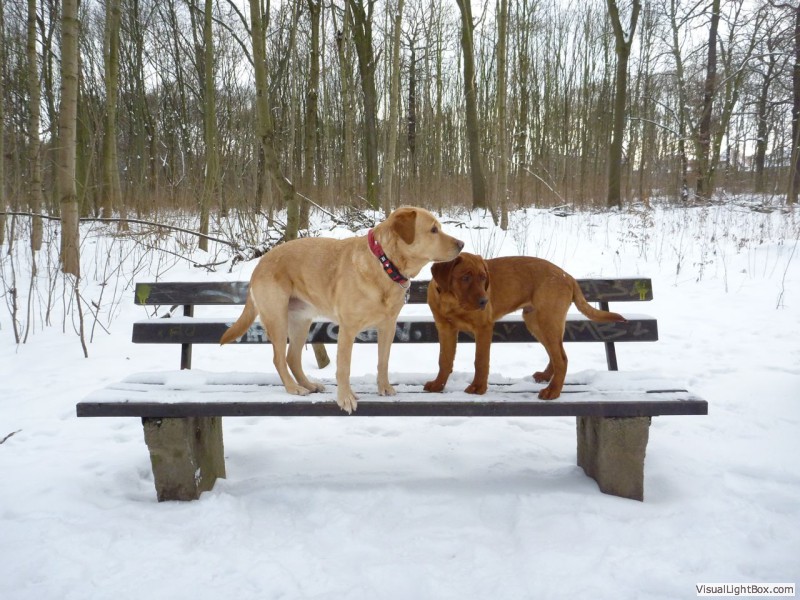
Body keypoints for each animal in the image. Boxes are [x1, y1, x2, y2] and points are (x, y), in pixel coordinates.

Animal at [220, 207, 463, 413]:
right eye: (433, 230)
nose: (461, 244)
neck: (384, 264)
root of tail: (260, 263)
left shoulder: (388, 326)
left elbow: (383, 361)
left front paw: (384, 388)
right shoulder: (348, 329)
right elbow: (344, 367)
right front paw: (346, 398)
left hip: (301, 321)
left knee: (293, 358)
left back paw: (309, 384)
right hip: (277, 319)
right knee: (279, 359)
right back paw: (293, 388)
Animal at [423, 252, 625, 400]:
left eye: (483, 278)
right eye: (465, 277)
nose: (484, 301)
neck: (452, 301)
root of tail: (569, 277)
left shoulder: (483, 327)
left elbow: (480, 361)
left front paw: (477, 388)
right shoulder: (445, 328)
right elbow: (444, 360)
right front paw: (438, 385)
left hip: (547, 320)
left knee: (561, 358)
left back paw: (553, 391)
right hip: (536, 321)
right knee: (556, 354)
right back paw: (546, 377)